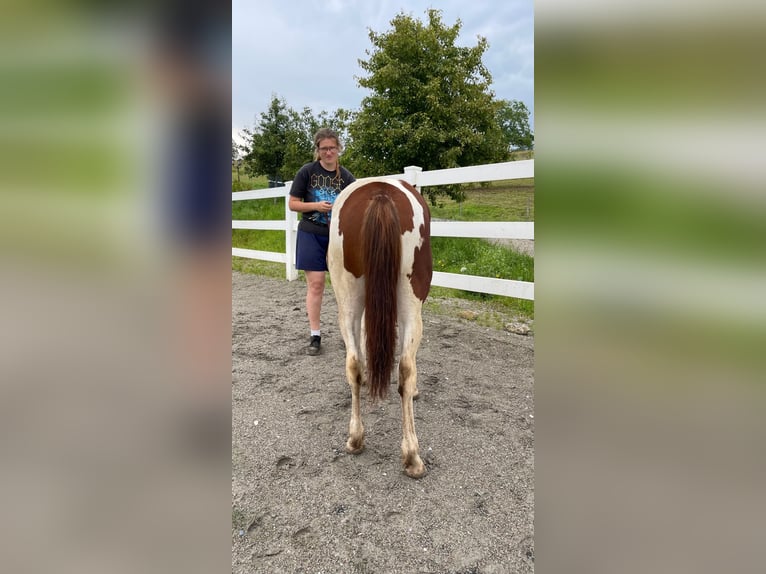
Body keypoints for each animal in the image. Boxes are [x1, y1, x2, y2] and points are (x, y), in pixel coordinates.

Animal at [328, 178, 432, 480]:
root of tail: (381, 194)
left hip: (347, 299)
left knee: (352, 362)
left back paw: (355, 438)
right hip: (411, 301)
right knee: (406, 368)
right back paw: (412, 456)